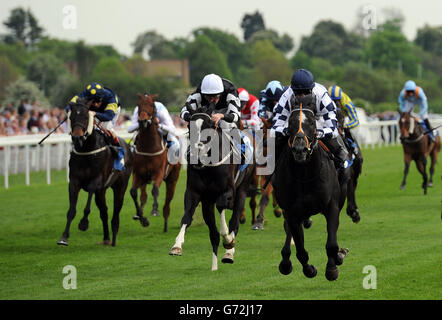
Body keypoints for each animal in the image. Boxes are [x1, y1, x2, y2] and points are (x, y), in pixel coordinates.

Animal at [57, 100, 132, 248]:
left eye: (86, 117)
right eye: (71, 117)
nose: (77, 137)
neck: (87, 150)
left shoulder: (97, 180)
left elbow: (88, 204)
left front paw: (84, 223)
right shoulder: (74, 181)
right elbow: (71, 210)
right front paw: (64, 237)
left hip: (120, 186)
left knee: (116, 210)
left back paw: (114, 238)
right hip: (101, 192)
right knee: (104, 211)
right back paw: (107, 238)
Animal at [129, 94, 181, 231]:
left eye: (151, 105)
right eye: (139, 105)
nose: (143, 121)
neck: (149, 147)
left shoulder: (158, 172)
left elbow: (155, 190)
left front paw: (154, 210)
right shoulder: (138, 174)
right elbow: (133, 192)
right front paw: (142, 218)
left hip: (172, 180)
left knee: (167, 202)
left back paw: (165, 224)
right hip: (144, 179)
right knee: (143, 196)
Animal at [169, 105, 256, 270]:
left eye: (208, 126)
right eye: (189, 126)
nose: (196, 155)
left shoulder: (228, 191)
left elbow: (222, 209)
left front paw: (228, 240)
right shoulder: (195, 193)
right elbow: (187, 217)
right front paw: (177, 246)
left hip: (242, 190)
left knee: (234, 222)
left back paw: (229, 253)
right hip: (207, 203)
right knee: (214, 235)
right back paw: (214, 267)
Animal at [272, 94, 348, 280]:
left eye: (312, 123)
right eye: (290, 122)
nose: (300, 149)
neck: (305, 175)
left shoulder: (332, 206)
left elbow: (332, 245)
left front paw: (334, 265)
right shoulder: (292, 212)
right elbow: (300, 250)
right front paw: (309, 269)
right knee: (290, 232)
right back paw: (285, 261)